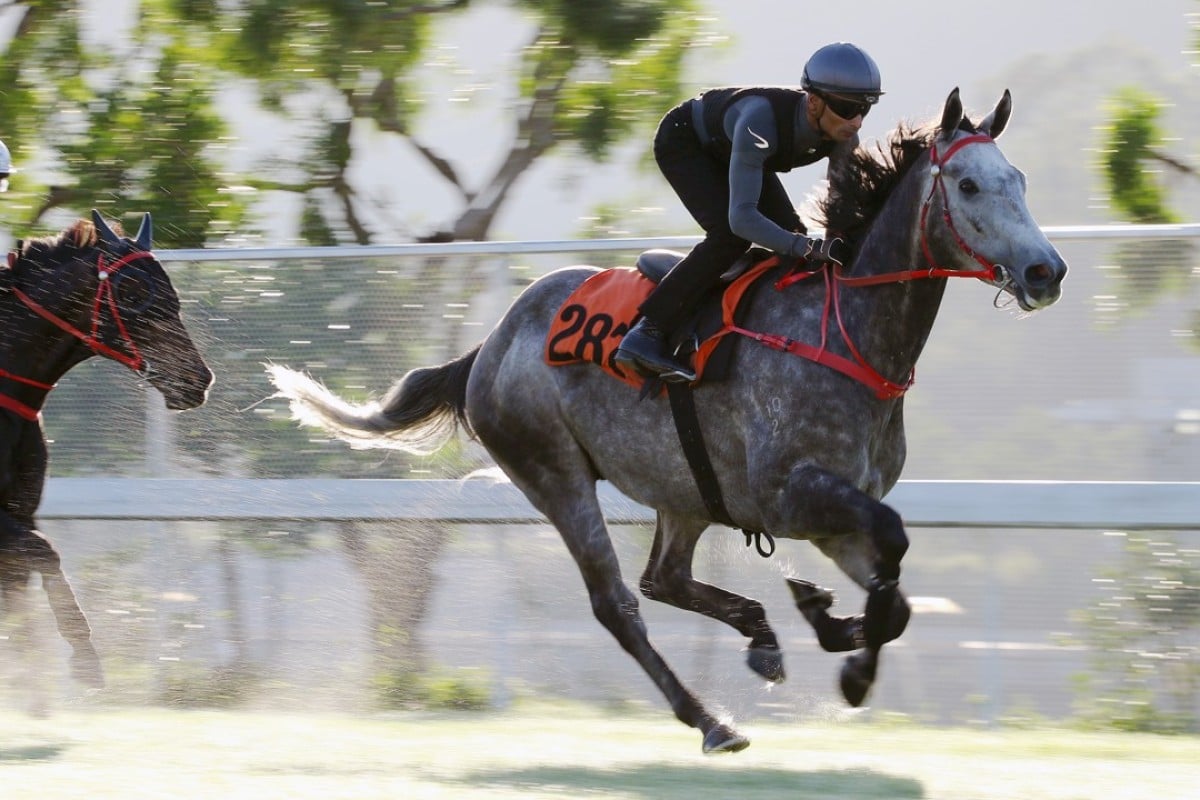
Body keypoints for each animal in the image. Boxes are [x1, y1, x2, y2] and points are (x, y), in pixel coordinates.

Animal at [0, 211, 213, 690]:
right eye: (132, 292)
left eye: (173, 296)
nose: (198, 379)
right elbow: (44, 551)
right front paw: (84, 659)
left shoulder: (22, 512)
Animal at [267, 90, 1065, 753]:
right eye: (968, 185)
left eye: (1020, 179)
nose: (1045, 272)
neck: (845, 332)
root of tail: (490, 344)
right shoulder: (793, 496)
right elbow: (893, 555)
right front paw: (849, 665)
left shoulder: (839, 508)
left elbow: (893, 596)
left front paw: (829, 622)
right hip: (555, 475)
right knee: (619, 603)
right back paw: (710, 720)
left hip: (685, 491)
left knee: (664, 579)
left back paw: (764, 634)